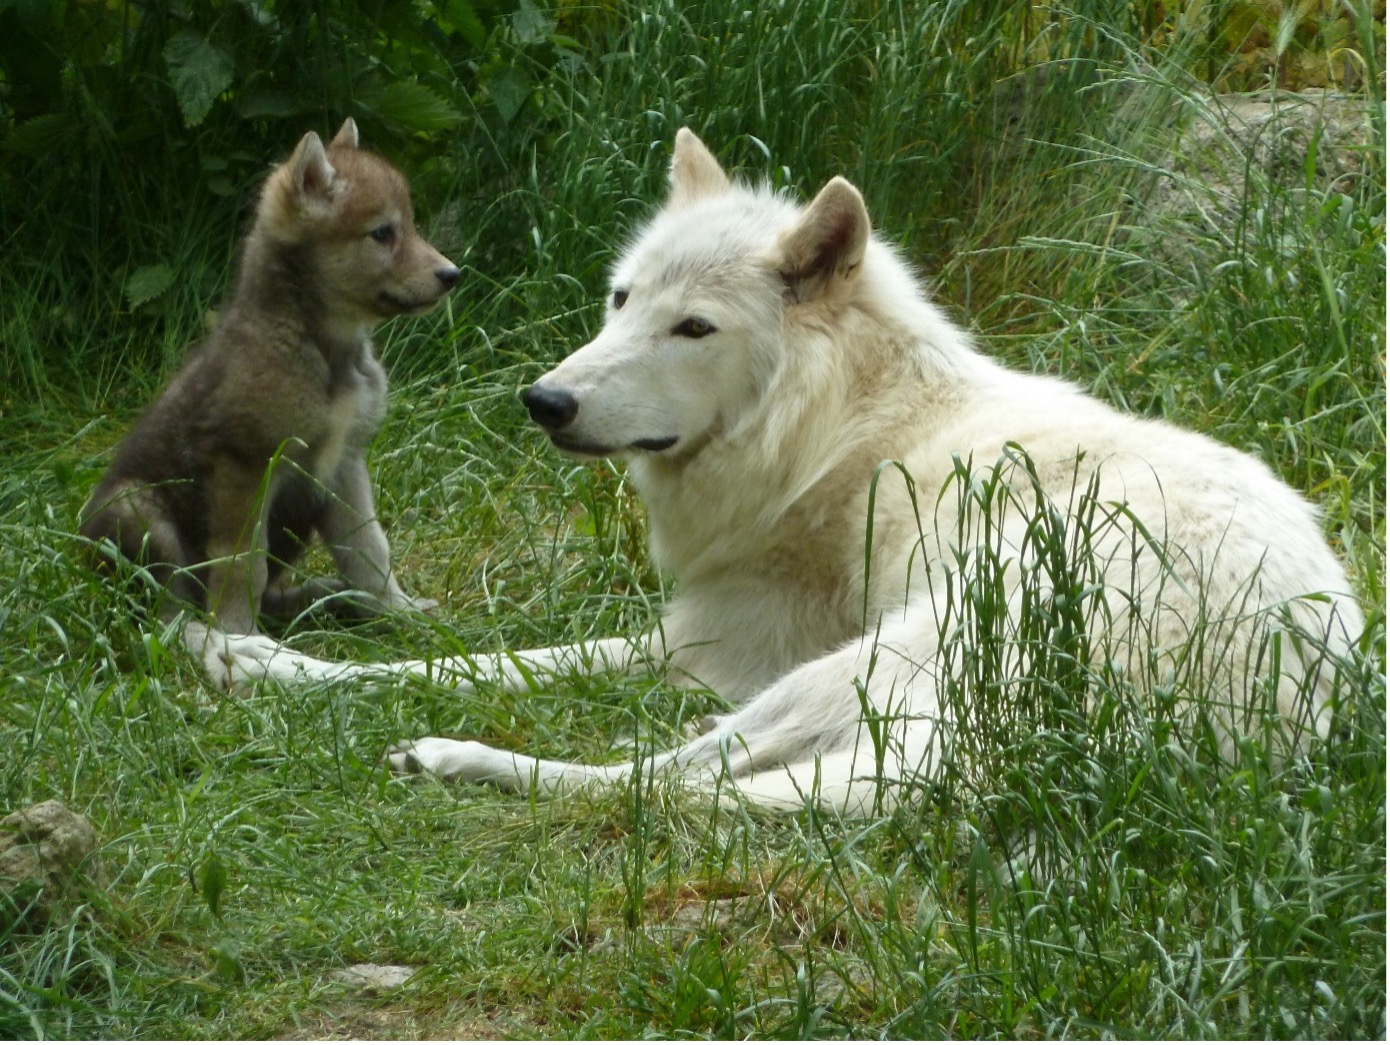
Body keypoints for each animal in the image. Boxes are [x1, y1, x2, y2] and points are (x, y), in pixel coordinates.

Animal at [81, 119, 457, 639]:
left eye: (411, 225)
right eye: (383, 233)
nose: (452, 275)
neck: (323, 349)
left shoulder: (344, 465)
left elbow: (368, 550)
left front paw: (396, 612)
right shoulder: (245, 465)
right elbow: (242, 564)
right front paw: (237, 632)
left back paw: (327, 600)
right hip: (137, 511)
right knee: (167, 603)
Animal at [206, 128, 1363, 814]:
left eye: (694, 328)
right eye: (621, 299)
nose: (546, 402)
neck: (839, 428)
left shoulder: (708, 647)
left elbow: (473, 662)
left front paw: (260, 659)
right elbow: (449, 634)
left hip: (869, 661)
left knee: (663, 782)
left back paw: (448, 757)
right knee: (716, 775)